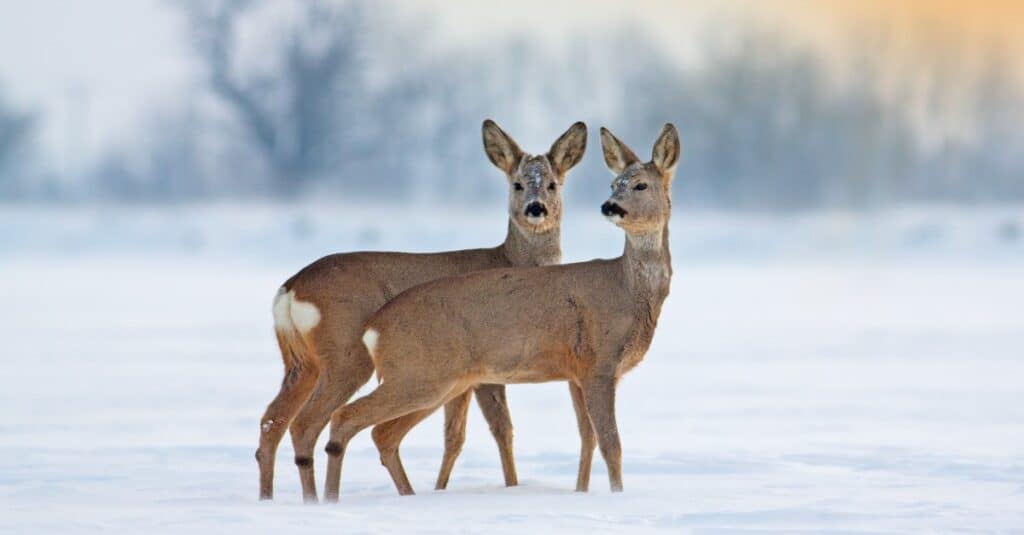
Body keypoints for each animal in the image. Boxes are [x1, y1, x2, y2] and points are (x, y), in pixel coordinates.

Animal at [260, 119, 589, 500]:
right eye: (517, 183)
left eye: (553, 183)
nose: (536, 208)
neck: (510, 259)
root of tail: (289, 289)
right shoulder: (485, 373)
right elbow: (498, 430)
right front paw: (509, 487)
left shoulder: (466, 378)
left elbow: (456, 437)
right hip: (346, 355)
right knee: (308, 423)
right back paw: (318, 499)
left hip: (301, 362)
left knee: (272, 421)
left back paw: (269, 497)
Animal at [321, 122, 679, 498]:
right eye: (614, 184)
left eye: (640, 184)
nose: (610, 206)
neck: (626, 291)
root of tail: (374, 327)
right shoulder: (599, 363)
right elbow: (611, 443)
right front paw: (617, 496)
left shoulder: (578, 372)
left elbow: (588, 439)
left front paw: (582, 493)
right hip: (418, 374)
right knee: (346, 417)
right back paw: (330, 499)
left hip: (440, 381)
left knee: (382, 433)